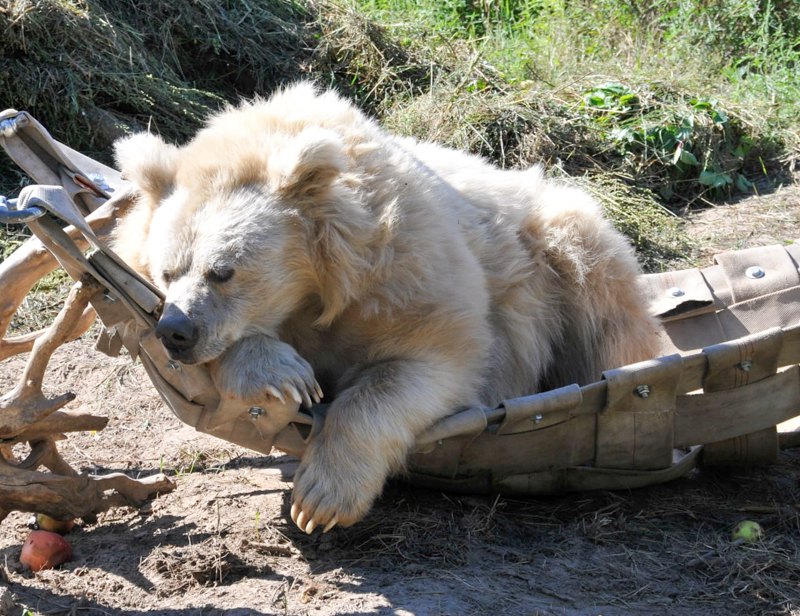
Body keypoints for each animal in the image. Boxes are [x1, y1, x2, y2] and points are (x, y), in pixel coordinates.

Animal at [111, 80, 664, 536]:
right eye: (165, 272)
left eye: (222, 271)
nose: (176, 332)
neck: (323, 280)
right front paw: (282, 374)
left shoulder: (404, 274)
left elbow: (433, 362)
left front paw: (320, 498)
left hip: (563, 251)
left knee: (607, 315)